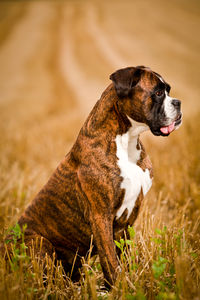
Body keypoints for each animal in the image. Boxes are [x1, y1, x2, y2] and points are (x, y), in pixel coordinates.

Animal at [2, 65, 182, 286]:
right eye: (157, 93)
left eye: (168, 90)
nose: (178, 102)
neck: (127, 140)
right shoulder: (100, 215)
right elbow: (110, 259)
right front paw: (119, 286)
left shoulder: (130, 216)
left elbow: (124, 254)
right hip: (38, 240)